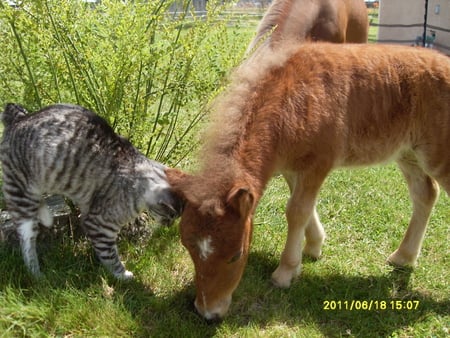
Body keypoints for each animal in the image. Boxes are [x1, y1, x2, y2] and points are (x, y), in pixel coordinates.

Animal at [0, 103, 183, 280]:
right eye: (171, 216)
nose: (169, 225)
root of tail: (19, 117)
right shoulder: (99, 225)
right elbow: (110, 256)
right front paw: (122, 275)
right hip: (22, 194)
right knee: (27, 240)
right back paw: (36, 274)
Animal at [166, 43, 450, 320]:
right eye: (188, 248)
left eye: (236, 255)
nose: (208, 313)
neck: (289, 102)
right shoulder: (293, 167)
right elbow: (303, 207)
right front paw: (313, 247)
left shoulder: (318, 163)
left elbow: (297, 211)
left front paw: (285, 272)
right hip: (408, 154)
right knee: (425, 194)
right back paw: (403, 256)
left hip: (438, 157)